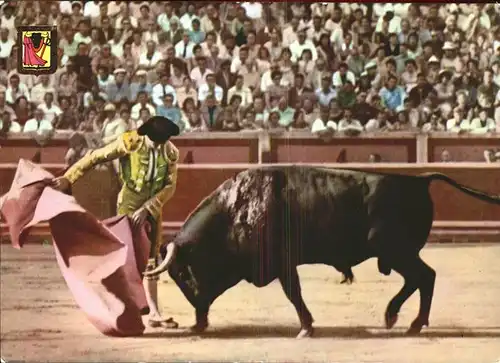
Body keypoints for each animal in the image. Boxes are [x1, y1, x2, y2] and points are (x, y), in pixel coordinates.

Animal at [146, 167, 500, 338]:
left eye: (181, 272)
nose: (197, 322)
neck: (236, 210)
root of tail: (418, 179)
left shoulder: (282, 263)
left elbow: (294, 294)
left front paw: (306, 328)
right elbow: (295, 293)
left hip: (396, 250)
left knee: (424, 277)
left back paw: (403, 320)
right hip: (398, 253)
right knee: (421, 278)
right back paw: (405, 320)